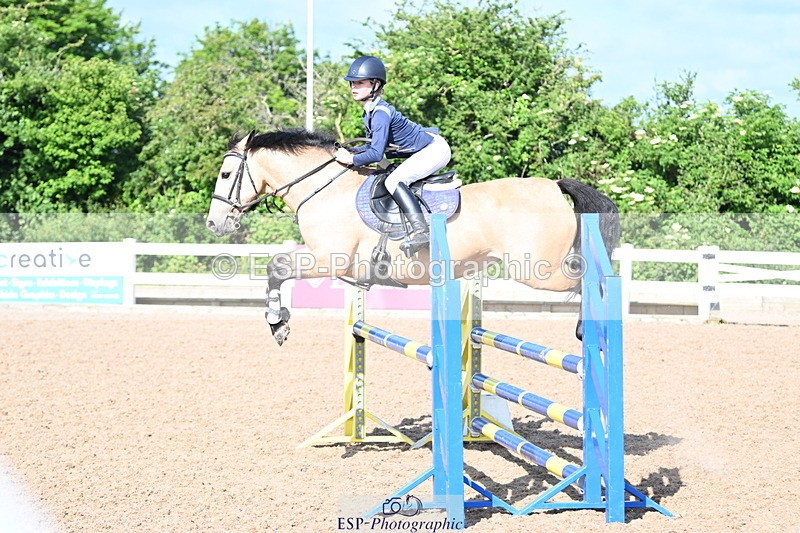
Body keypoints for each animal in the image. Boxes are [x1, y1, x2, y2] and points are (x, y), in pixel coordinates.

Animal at [206, 129, 620, 346]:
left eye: (225, 175)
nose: (214, 224)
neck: (324, 188)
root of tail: (553, 185)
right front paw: (280, 320)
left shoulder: (327, 258)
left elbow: (276, 267)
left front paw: (277, 323)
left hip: (538, 269)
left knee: (590, 280)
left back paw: (590, 330)